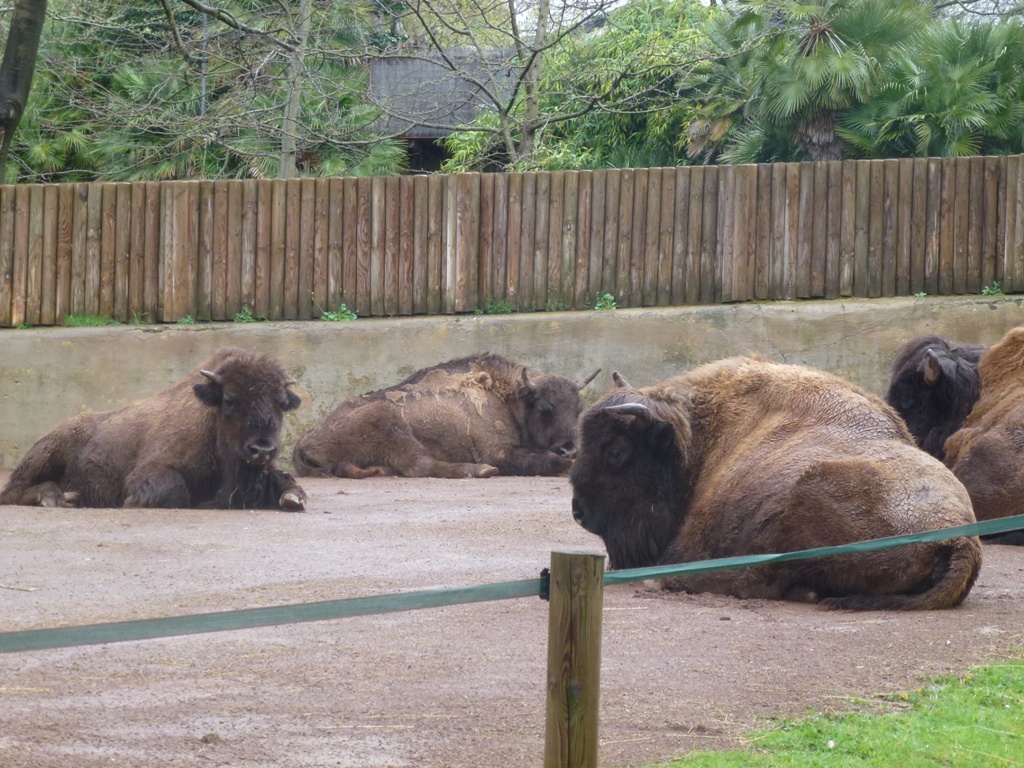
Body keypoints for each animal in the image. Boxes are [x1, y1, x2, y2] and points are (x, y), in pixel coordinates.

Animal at [0, 347, 306, 511]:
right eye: (230, 399)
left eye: (282, 403)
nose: (262, 448)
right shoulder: (152, 470)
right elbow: (173, 491)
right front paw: (131, 502)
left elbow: (287, 482)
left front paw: (293, 497)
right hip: (46, 453)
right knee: (12, 490)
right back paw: (55, 497)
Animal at [292, 353, 600, 479]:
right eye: (545, 408)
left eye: (578, 409)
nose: (569, 448)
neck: (509, 395)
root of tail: (302, 442)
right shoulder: (496, 452)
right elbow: (544, 459)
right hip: (389, 421)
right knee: (420, 465)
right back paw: (480, 471)